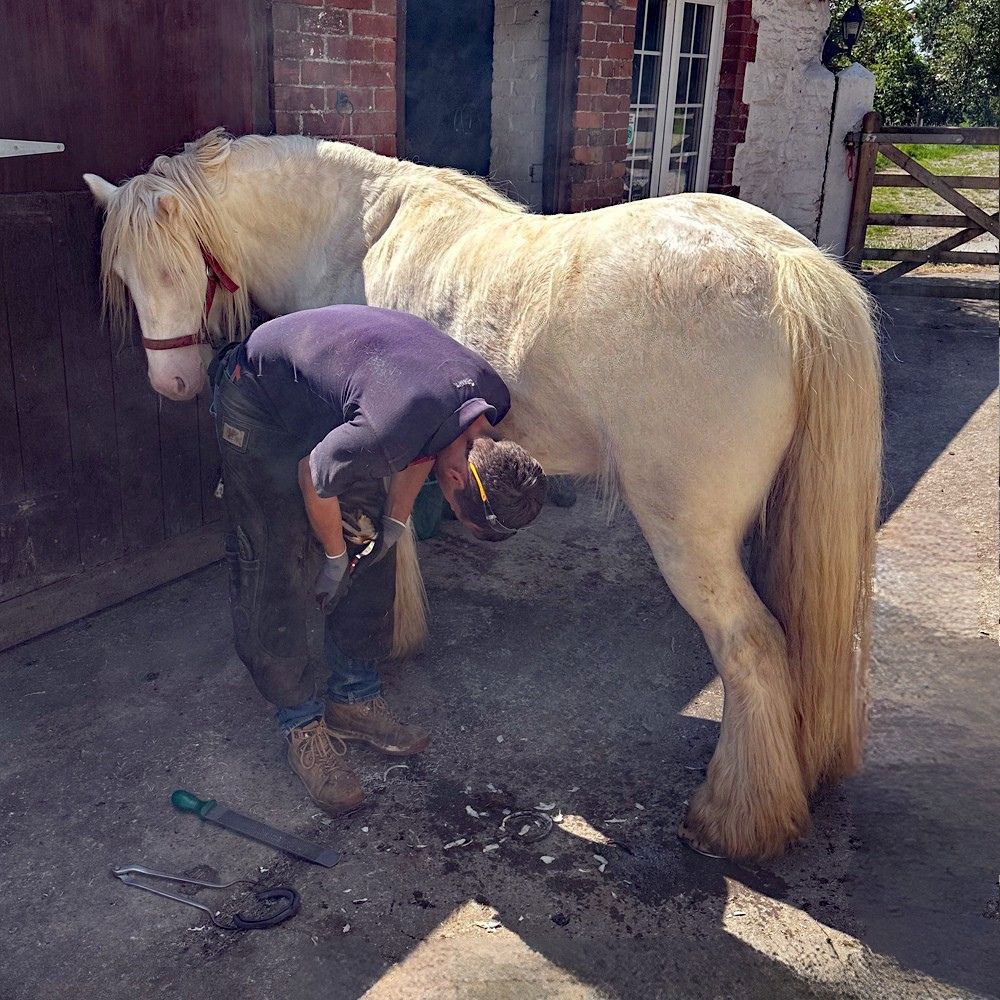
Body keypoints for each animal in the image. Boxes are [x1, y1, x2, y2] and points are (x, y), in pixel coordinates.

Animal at [83, 128, 882, 860]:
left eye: (176, 265)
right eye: (122, 273)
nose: (174, 384)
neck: (354, 229)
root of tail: (786, 265)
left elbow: (381, 547)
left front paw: (388, 641)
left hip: (690, 539)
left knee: (751, 648)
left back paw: (731, 820)